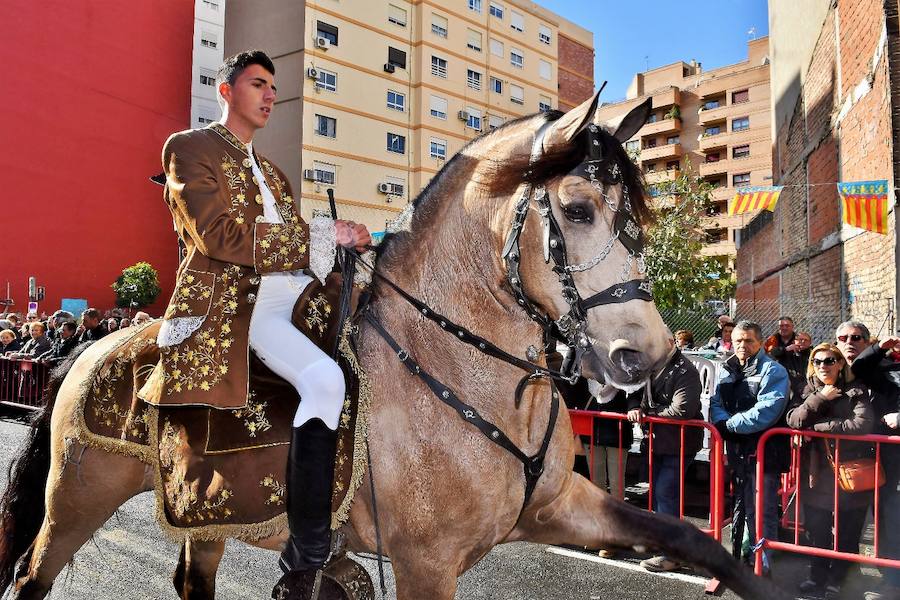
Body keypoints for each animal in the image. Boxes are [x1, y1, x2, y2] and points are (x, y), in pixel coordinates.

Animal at [0, 91, 788, 596]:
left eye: (631, 221)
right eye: (577, 209)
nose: (648, 356)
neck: (472, 376)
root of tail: (87, 352)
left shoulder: (563, 504)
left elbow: (691, 537)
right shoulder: (426, 564)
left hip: (206, 512)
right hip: (76, 498)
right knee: (32, 575)